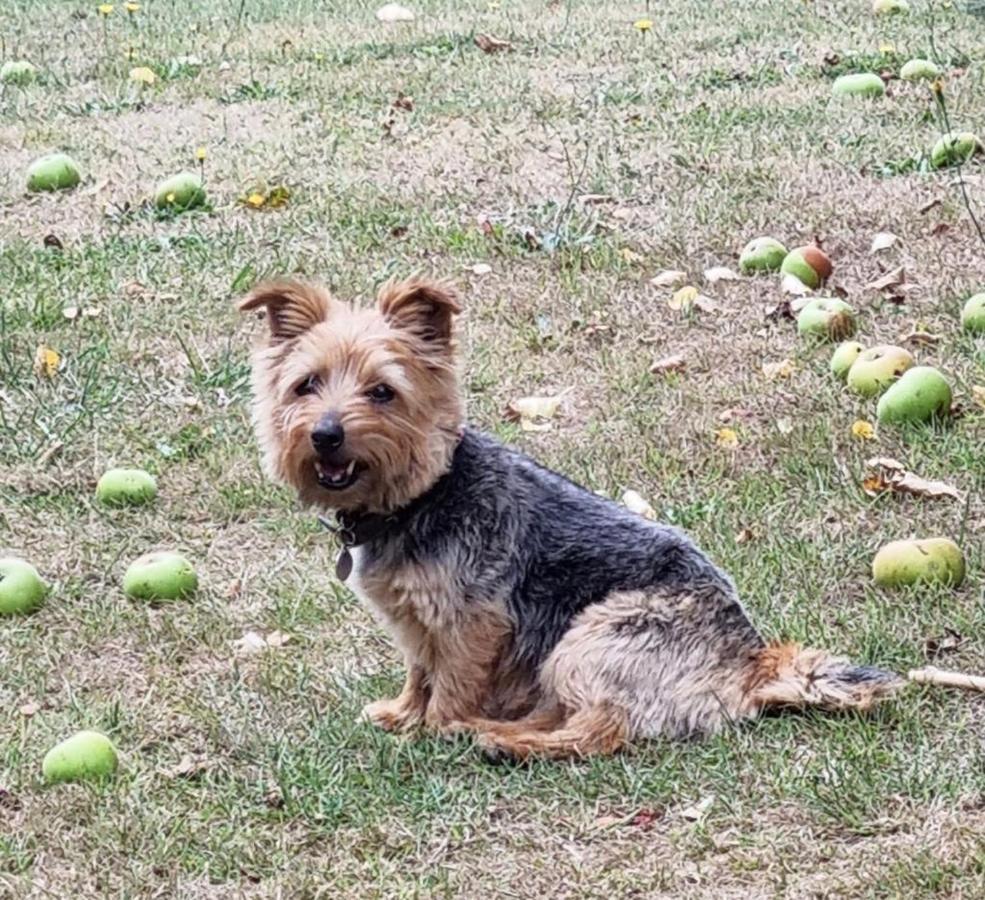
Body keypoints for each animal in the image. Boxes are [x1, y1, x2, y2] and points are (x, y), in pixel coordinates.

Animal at [238, 274, 900, 760]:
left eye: (382, 392)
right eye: (306, 385)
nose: (326, 435)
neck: (423, 493)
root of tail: (751, 661)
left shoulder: (472, 621)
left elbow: (451, 684)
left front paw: (433, 729)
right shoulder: (416, 620)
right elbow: (420, 672)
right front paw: (403, 714)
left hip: (590, 637)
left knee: (598, 730)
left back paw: (499, 739)